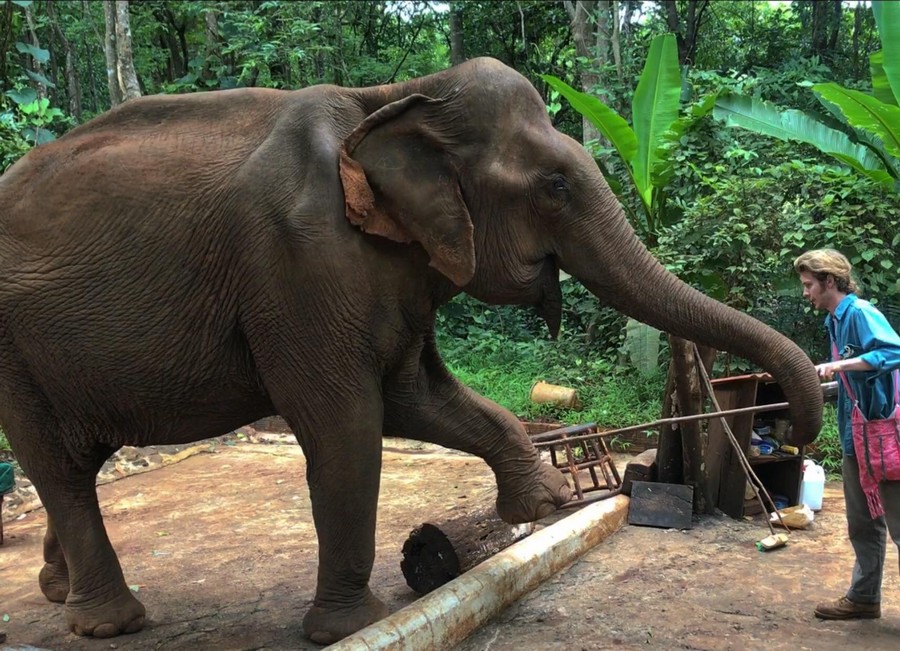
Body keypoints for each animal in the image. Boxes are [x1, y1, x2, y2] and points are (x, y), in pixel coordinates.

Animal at [0, 57, 824, 648]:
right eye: (555, 186)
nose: (790, 432)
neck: (391, 98)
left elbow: (423, 397)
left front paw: (545, 506)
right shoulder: (300, 266)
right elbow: (347, 427)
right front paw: (352, 626)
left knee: (82, 460)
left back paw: (55, 591)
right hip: (11, 349)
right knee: (56, 464)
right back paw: (110, 622)